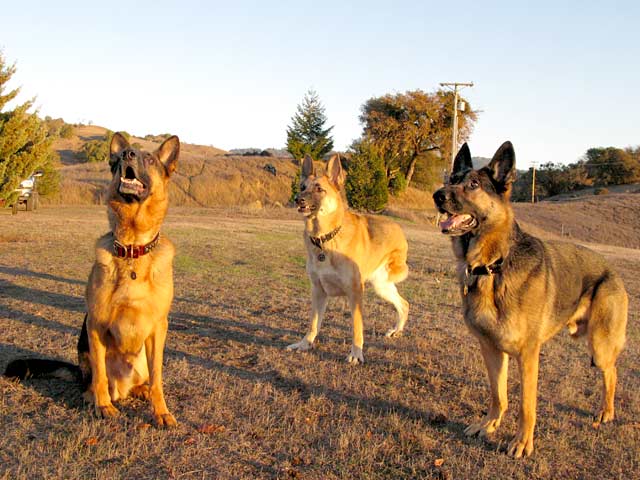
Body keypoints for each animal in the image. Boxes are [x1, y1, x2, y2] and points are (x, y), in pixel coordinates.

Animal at [6, 133, 182, 426]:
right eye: (122, 155)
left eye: (149, 158)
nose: (127, 154)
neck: (132, 249)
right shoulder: (97, 325)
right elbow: (100, 376)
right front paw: (103, 407)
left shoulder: (158, 328)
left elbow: (158, 378)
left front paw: (161, 412)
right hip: (88, 354)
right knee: (92, 383)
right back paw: (98, 398)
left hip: (141, 361)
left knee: (143, 382)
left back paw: (142, 391)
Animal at [286, 154, 408, 364]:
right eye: (302, 187)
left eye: (319, 189)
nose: (297, 199)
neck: (325, 239)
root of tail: (397, 227)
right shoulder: (318, 291)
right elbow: (313, 323)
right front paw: (304, 344)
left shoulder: (355, 292)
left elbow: (356, 327)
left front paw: (356, 354)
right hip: (382, 287)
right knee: (404, 304)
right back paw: (396, 330)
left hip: (381, 282)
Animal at [432, 142, 628, 458]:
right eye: (452, 179)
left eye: (473, 185)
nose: (437, 195)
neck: (493, 265)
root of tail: (613, 270)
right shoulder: (490, 349)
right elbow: (497, 394)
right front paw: (489, 425)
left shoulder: (528, 355)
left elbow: (526, 405)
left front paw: (522, 443)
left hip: (599, 346)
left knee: (611, 372)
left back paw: (606, 412)